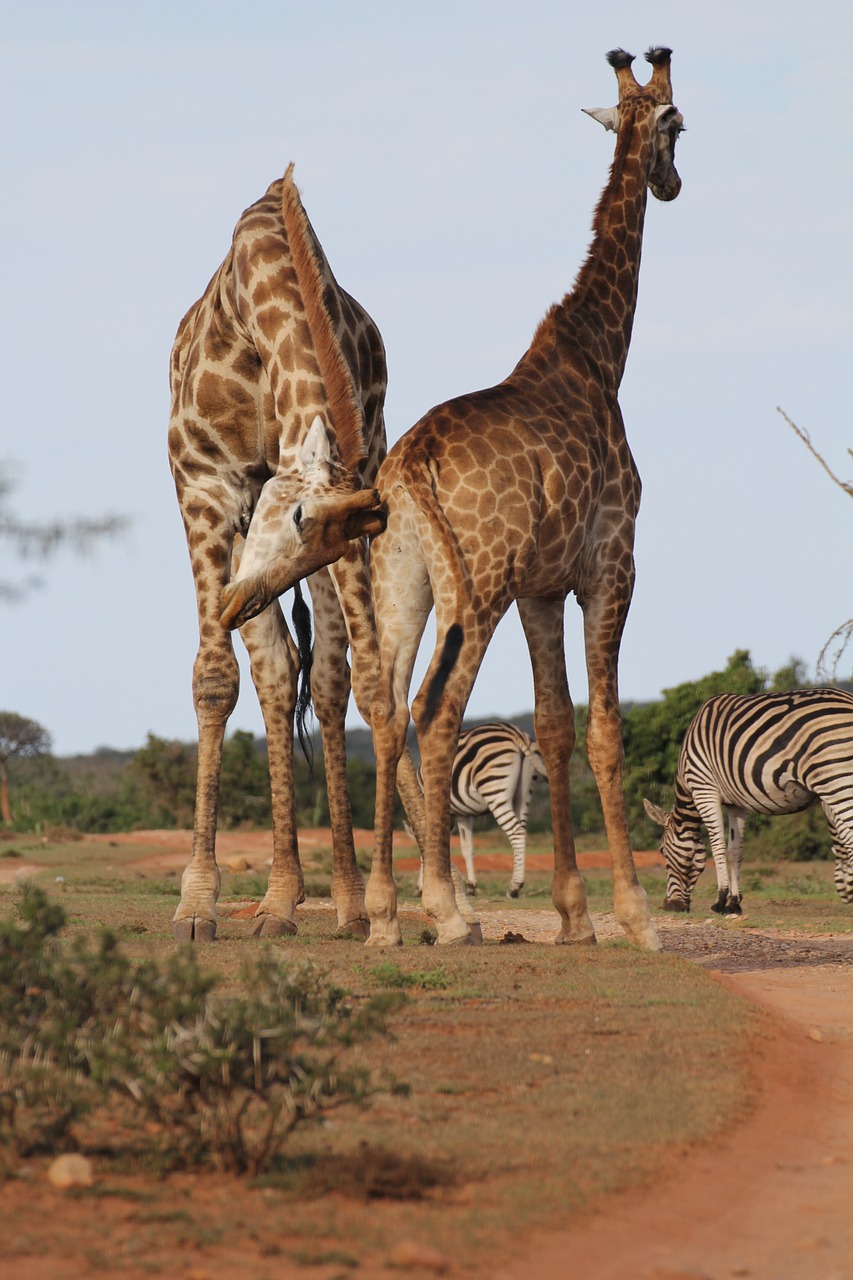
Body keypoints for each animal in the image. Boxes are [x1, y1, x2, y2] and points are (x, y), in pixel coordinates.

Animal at [166, 165, 425, 942]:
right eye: (299, 516)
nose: (235, 600)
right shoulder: (204, 482)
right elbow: (215, 678)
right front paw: (196, 906)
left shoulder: (360, 503)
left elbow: (365, 679)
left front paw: (387, 902)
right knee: (276, 671)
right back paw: (280, 899)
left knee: (325, 675)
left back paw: (331, 899)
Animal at [414, 721, 548, 901]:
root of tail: (516, 733)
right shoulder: (463, 815)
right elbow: (467, 847)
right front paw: (471, 886)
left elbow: (427, 847)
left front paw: (422, 887)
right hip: (524, 793)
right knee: (522, 828)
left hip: (494, 787)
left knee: (516, 831)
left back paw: (514, 887)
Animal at [640, 686, 850, 916]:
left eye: (662, 850)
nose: (669, 907)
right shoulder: (736, 804)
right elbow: (735, 850)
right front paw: (733, 903)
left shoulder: (704, 789)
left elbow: (717, 847)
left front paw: (720, 901)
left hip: (835, 780)